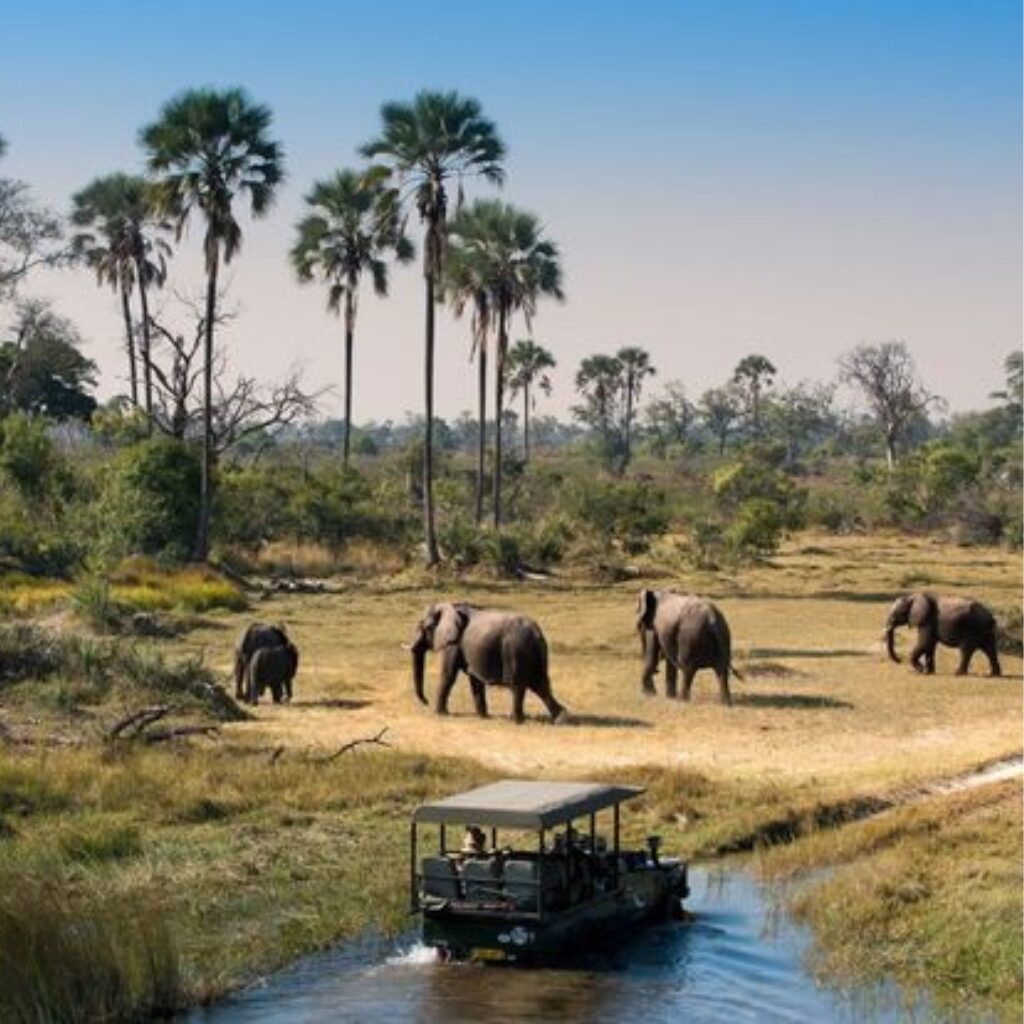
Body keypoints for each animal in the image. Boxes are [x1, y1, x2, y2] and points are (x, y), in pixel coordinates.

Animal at [407, 602, 569, 724]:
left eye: (426, 628)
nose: (426, 702)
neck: (451, 606)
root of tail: (537, 633)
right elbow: (475, 680)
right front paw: (483, 717)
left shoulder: (453, 643)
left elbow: (448, 675)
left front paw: (440, 714)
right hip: (536, 654)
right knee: (540, 685)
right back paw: (561, 718)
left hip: (515, 651)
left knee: (518, 686)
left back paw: (515, 721)